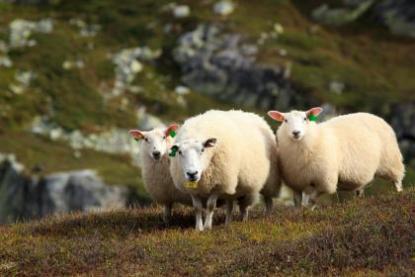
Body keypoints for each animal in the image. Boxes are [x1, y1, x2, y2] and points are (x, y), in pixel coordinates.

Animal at [268, 106, 404, 206]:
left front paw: (308, 211)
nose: (296, 132)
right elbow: (297, 203)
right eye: (285, 120)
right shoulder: (296, 183)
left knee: (397, 179)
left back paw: (399, 194)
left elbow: (311, 200)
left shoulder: (326, 182)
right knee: (360, 190)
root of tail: (375, 116)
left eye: (305, 118)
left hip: (390, 161)